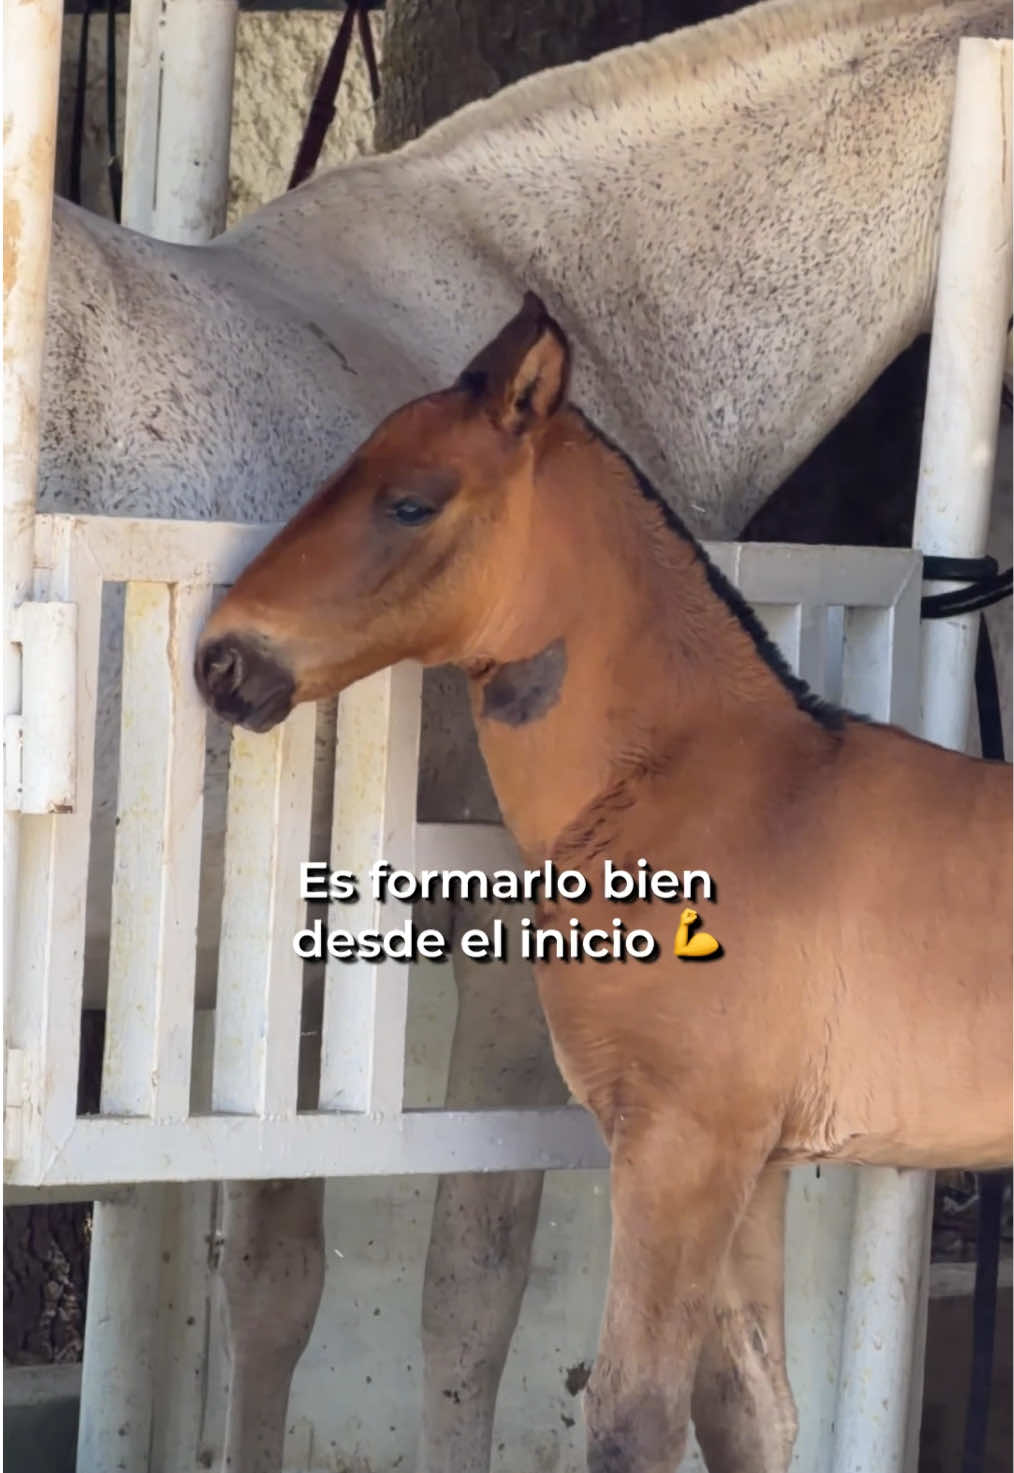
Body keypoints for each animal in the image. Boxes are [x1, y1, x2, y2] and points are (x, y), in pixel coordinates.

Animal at [194, 293, 1014, 1473]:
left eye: (411, 501)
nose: (220, 662)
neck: (692, 784)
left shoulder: (678, 1143)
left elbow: (636, 1416)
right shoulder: (751, 1158)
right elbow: (747, 1408)